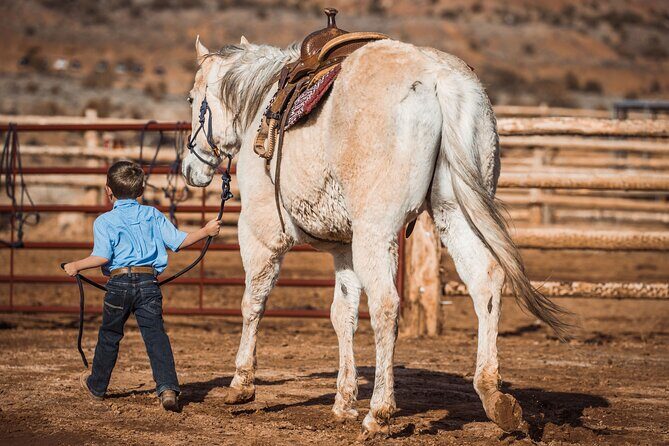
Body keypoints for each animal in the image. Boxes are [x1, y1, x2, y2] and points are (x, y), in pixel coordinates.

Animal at [181, 35, 570, 438]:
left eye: (193, 100)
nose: (189, 168)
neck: (261, 105)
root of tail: (440, 78)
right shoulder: (344, 249)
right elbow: (343, 315)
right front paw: (343, 402)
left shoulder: (261, 233)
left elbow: (252, 303)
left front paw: (240, 386)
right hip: (453, 212)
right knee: (486, 282)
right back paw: (494, 397)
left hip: (377, 230)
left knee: (385, 304)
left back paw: (379, 413)